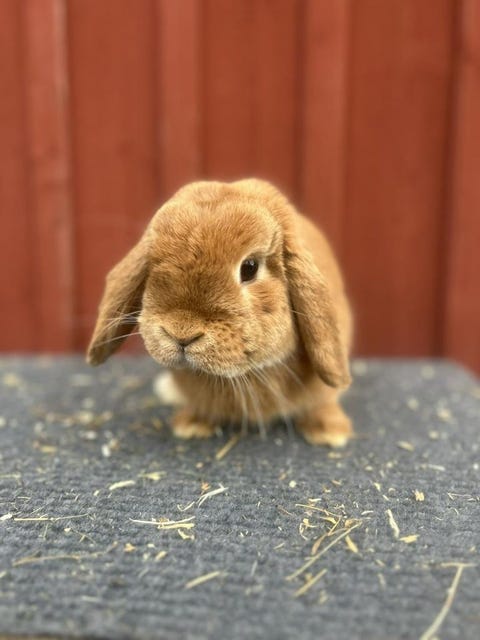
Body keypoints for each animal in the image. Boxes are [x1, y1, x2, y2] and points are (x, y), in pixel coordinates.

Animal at [87, 179, 353, 446]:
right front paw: (191, 425)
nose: (181, 333)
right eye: (152, 265)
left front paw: (331, 432)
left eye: (249, 267)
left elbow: (323, 400)